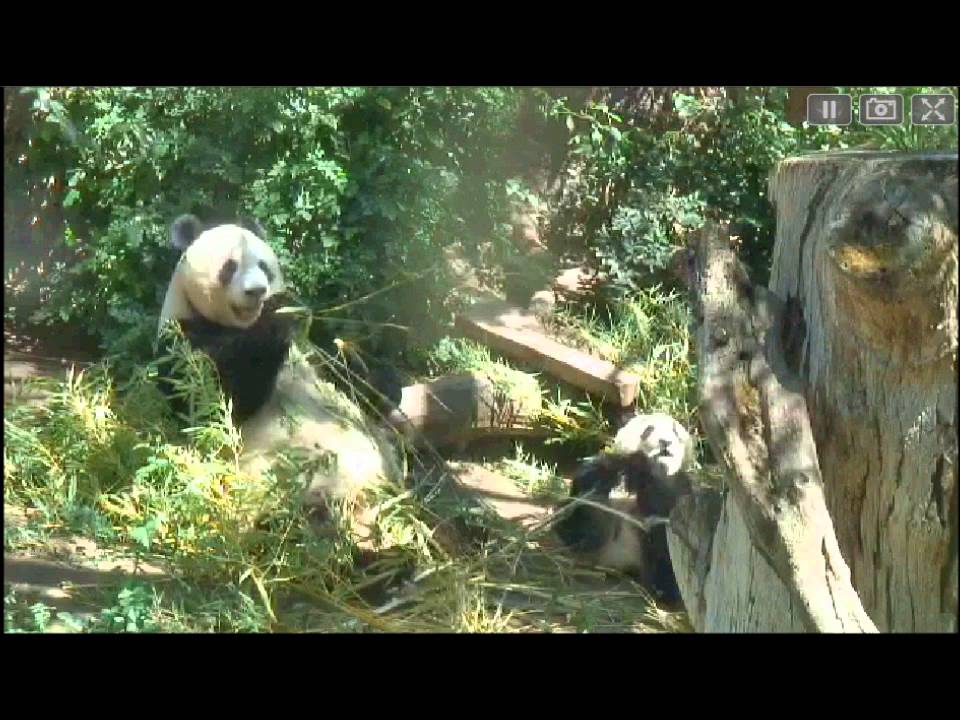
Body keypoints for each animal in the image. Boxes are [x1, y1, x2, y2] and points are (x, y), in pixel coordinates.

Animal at [155, 214, 402, 533]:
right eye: (230, 267)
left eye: (263, 266)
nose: (257, 291)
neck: (238, 326)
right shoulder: (183, 340)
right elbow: (215, 402)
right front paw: (279, 311)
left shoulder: (310, 350)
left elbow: (346, 376)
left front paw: (383, 380)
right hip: (281, 486)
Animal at [552, 413, 696, 605]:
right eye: (649, 429)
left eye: (676, 432)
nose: (665, 442)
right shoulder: (617, 465)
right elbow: (594, 476)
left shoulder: (677, 489)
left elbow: (667, 514)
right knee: (578, 520)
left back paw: (663, 590)